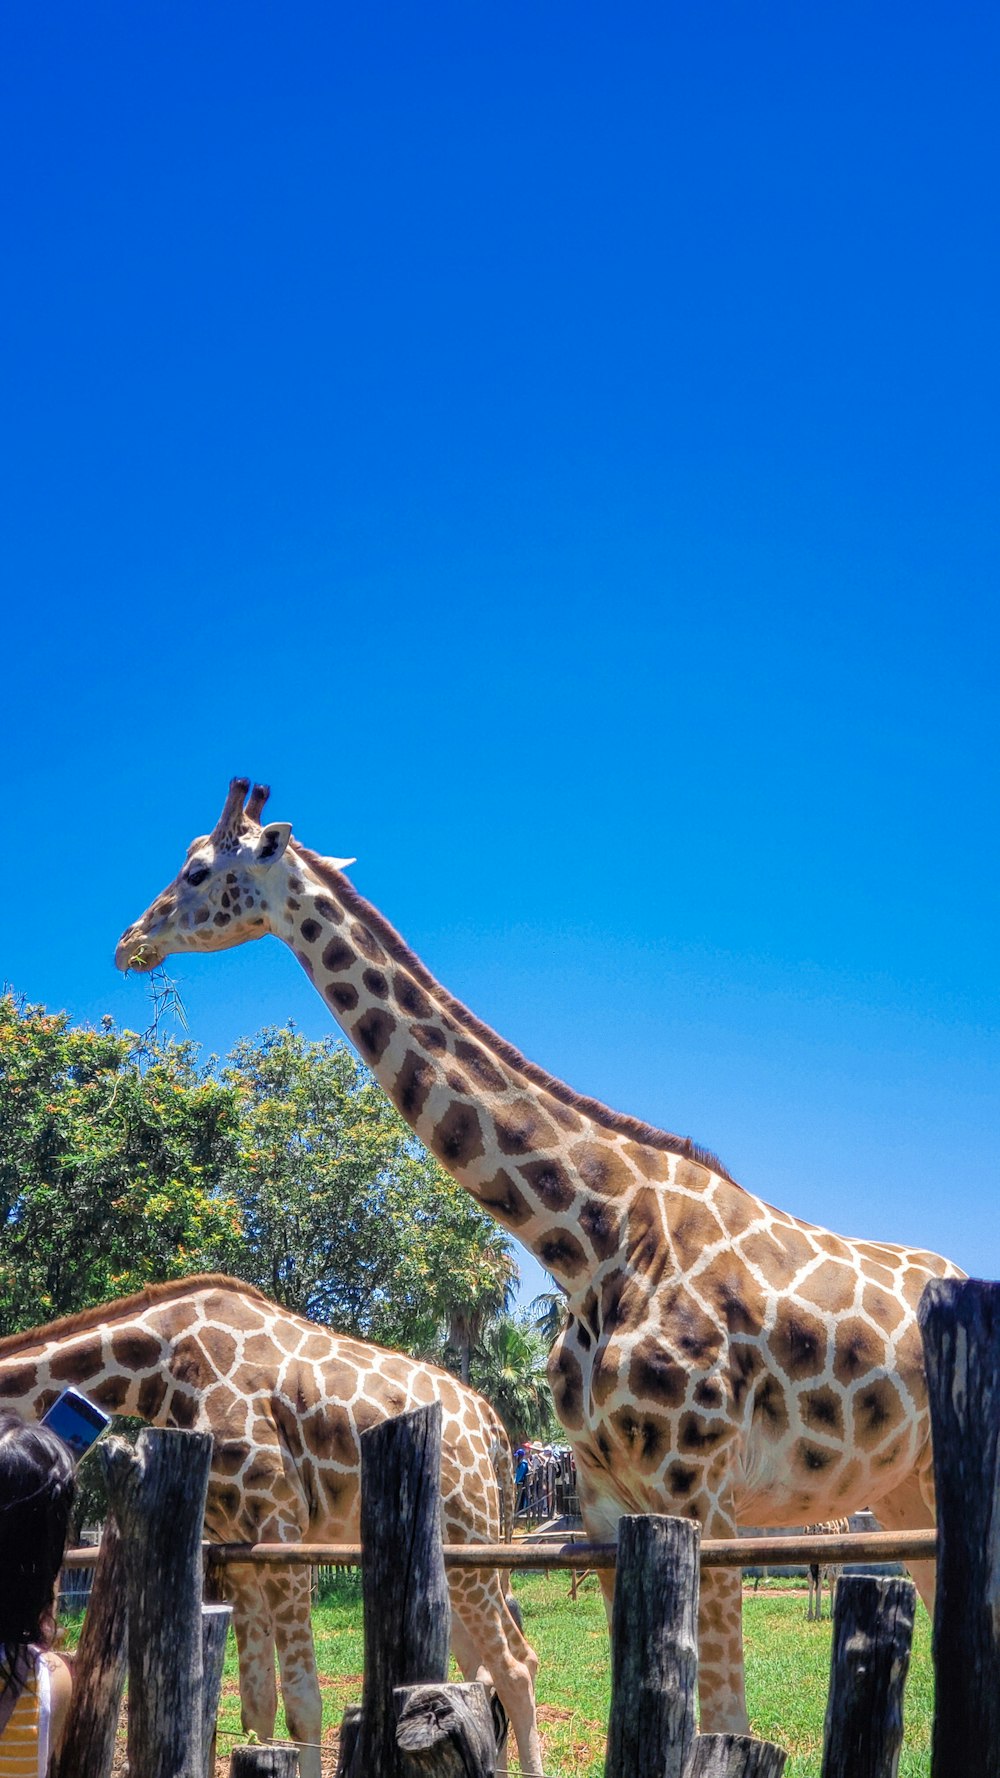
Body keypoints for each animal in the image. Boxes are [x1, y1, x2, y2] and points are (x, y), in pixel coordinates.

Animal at [0, 1273, 537, 1778]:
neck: (163, 1367)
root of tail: (491, 1424)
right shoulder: (236, 1548)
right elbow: (257, 1704)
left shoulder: (281, 1526)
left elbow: (304, 1702)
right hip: (457, 1552)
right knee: (485, 1668)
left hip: (470, 1533)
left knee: (514, 1667)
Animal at [118, 782, 967, 1735]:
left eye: (198, 870)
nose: (130, 942)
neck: (593, 1239)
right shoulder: (606, 1505)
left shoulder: (700, 1491)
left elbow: (722, 1720)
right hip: (903, 1489)